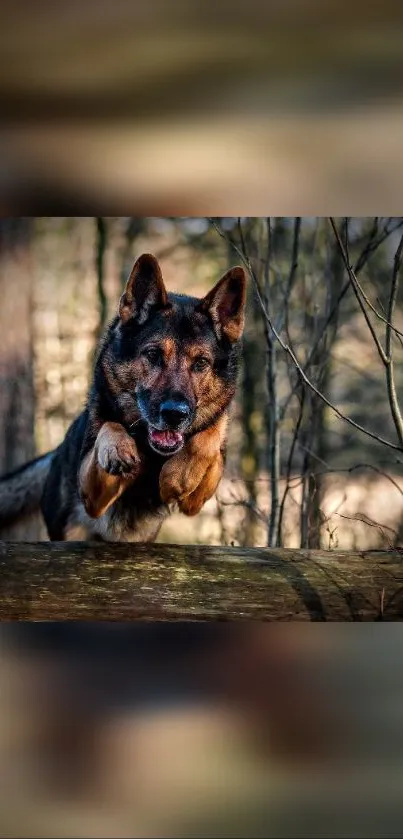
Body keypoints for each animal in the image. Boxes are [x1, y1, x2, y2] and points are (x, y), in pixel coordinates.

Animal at [0, 256, 246, 544]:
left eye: (201, 363)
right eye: (153, 355)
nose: (175, 414)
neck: (151, 452)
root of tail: (56, 453)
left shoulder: (196, 500)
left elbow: (208, 438)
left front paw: (177, 477)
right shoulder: (90, 493)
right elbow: (110, 425)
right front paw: (118, 448)